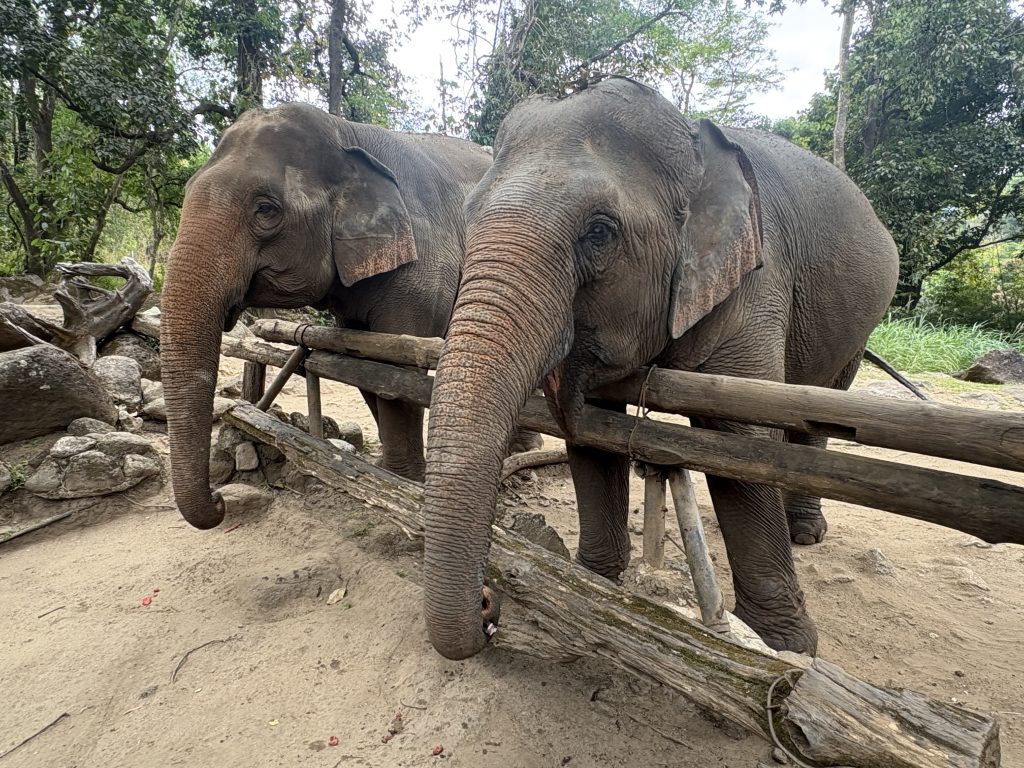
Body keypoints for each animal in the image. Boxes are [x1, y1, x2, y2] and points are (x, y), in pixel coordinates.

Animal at [161, 102, 520, 531]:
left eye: (266, 209)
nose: (219, 500)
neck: (346, 132)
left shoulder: (422, 272)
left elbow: (398, 379)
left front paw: (406, 486)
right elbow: (363, 368)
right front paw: (391, 477)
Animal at [422, 77, 899, 660]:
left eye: (599, 232)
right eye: (467, 218)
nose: (489, 605)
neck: (693, 142)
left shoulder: (753, 280)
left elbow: (741, 437)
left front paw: (783, 646)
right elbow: (592, 428)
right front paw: (596, 582)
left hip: (861, 324)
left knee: (821, 409)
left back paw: (805, 534)